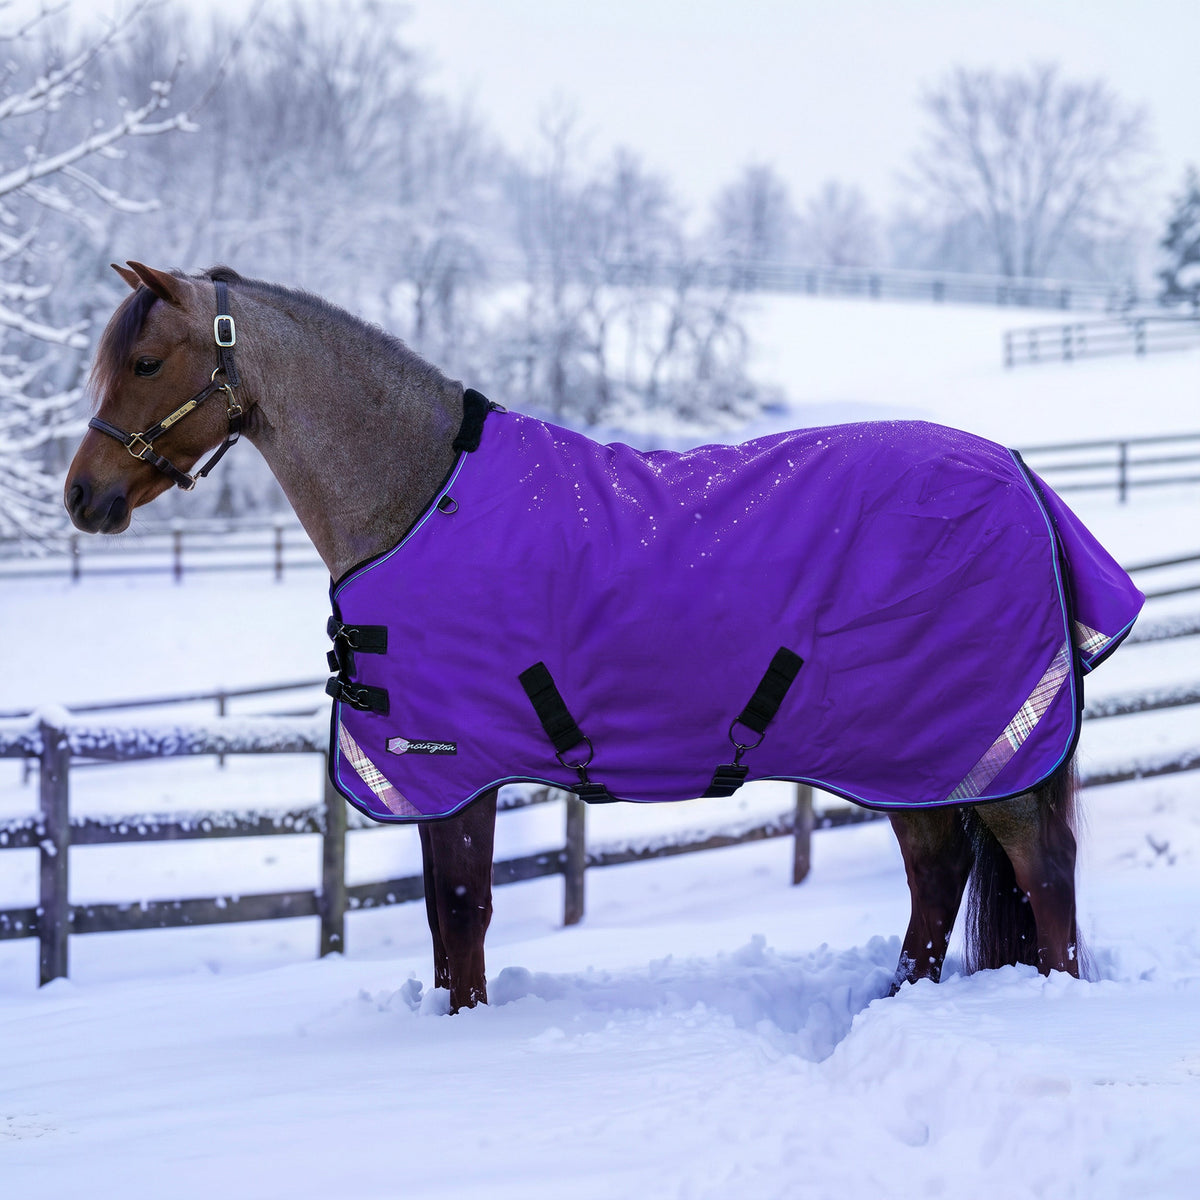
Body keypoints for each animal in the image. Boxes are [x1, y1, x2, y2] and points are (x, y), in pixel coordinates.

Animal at [65, 262, 1139, 1012]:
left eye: (147, 363)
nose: (84, 497)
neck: (419, 496)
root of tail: (1021, 476)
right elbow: (446, 923)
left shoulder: (457, 768)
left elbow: (463, 916)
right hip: (909, 755)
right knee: (937, 875)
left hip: (977, 748)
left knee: (1041, 873)